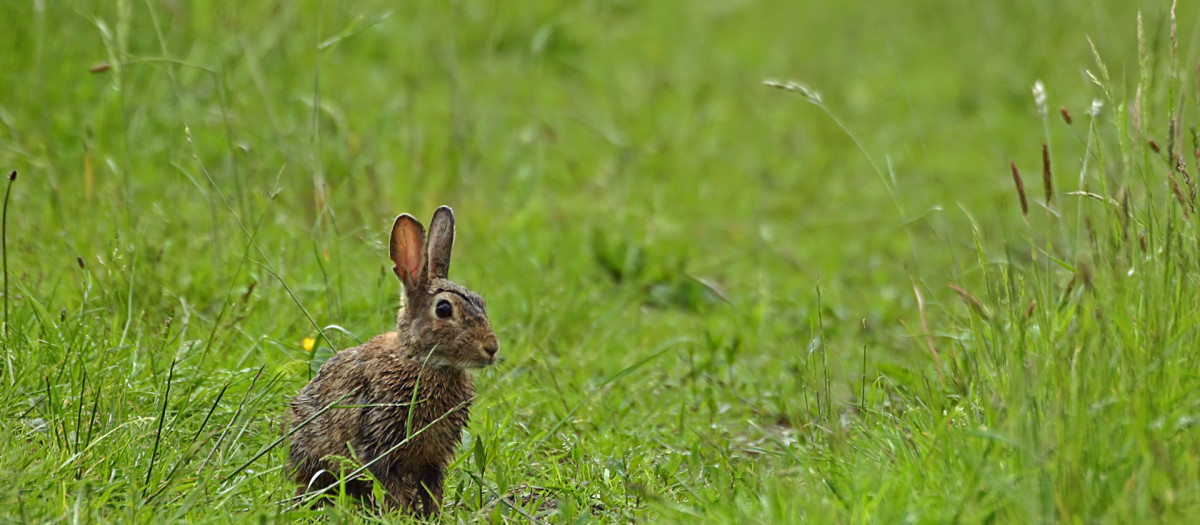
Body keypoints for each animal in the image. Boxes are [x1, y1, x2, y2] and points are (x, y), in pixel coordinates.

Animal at [288, 206, 499, 517]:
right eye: (444, 309)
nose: (492, 348)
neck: (422, 361)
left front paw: (433, 516)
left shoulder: (433, 459)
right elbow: (391, 487)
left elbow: (432, 489)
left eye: (481, 302)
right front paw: (402, 515)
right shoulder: (377, 445)